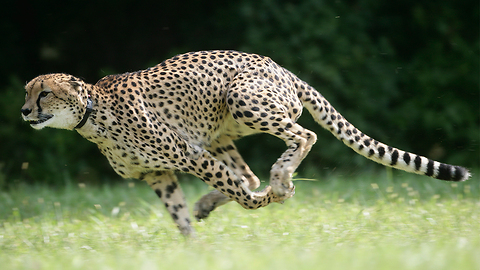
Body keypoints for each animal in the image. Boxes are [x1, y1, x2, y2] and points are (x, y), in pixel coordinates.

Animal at [21, 50, 468, 236]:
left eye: (44, 93)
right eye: (27, 93)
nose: (24, 112)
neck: (92, 114)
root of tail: (280, 67)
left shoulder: (188, 154)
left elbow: (244, 196)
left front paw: (273, 196)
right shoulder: (158, 174)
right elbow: (181, 213)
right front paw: (193, 248)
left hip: (242, 98)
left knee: (302, 136)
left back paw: (282, 178)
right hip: (221, 133)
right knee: (249, 173)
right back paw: (213, 202)